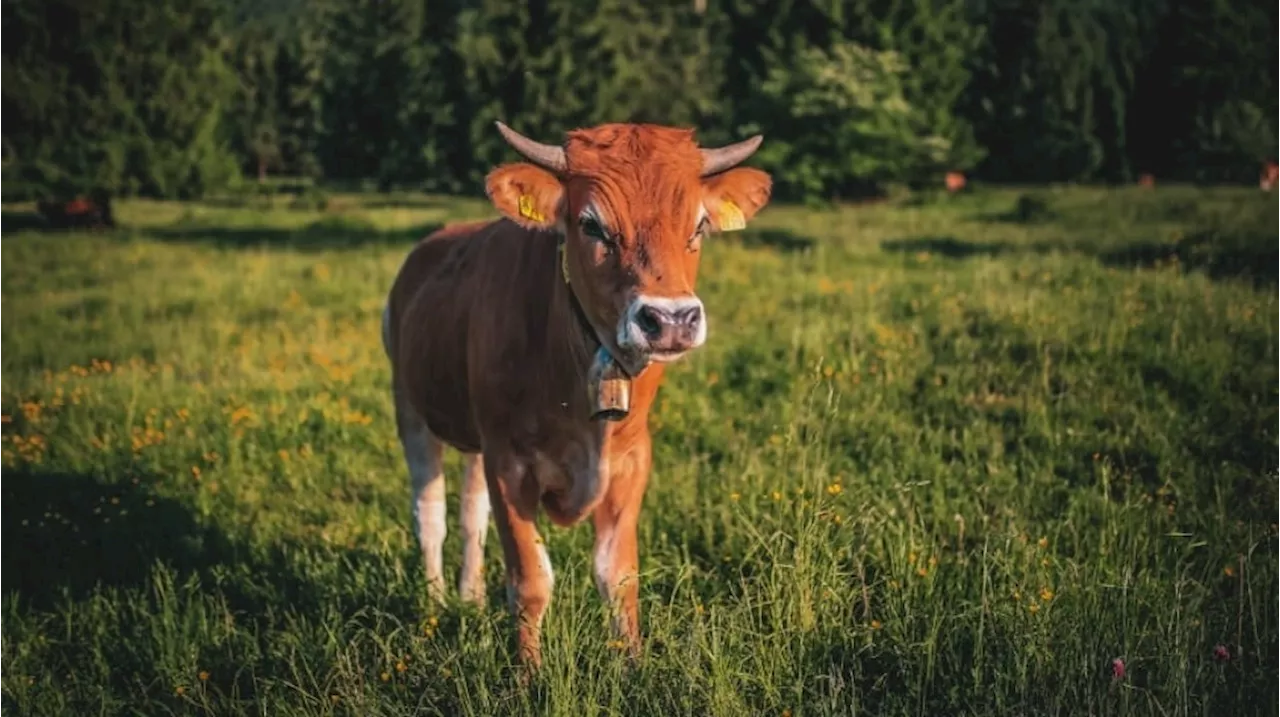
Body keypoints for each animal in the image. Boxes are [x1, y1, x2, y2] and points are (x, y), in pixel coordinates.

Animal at [378, 120, 773, 665]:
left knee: (470, 514)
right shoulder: (510, 462)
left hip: (474, 438)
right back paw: (436, 603)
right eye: (592, 226)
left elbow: (618, 575)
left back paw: (469, 597)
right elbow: (530, 580)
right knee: (430, 513)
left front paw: (633, 666)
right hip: (410, 408)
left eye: (698, 227)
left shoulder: (630, 461)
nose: (670, 320)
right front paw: (528, 673)